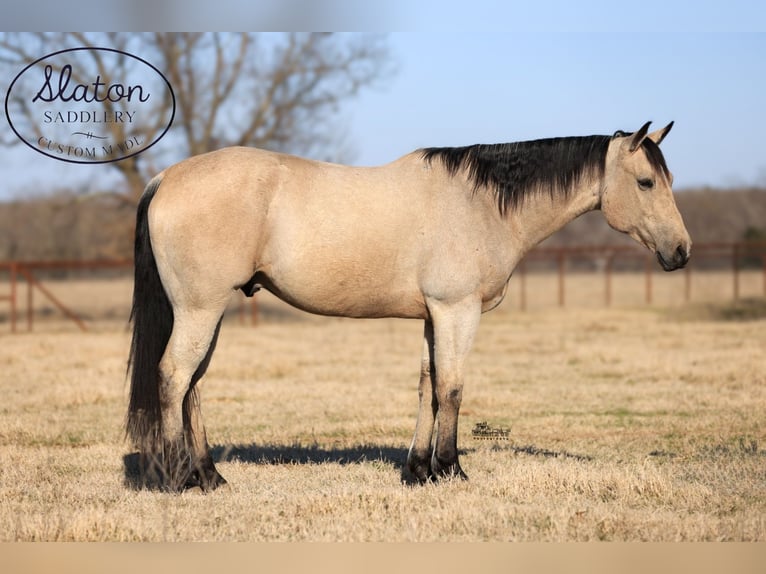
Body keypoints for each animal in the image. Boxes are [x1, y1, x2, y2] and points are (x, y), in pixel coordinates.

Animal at [129, 120, 692, 490]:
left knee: (193, 385)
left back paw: (210, 476)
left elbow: (427, 385)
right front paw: (451, 469)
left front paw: (418, 470)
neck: (480, 205)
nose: (681, 251)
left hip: (207, 311)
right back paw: (179, 478)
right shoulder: (457, 310)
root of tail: (166, 178)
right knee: (175, 377)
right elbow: (453, 387)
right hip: (200, 309)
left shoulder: (431, 316)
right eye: (646, 182)